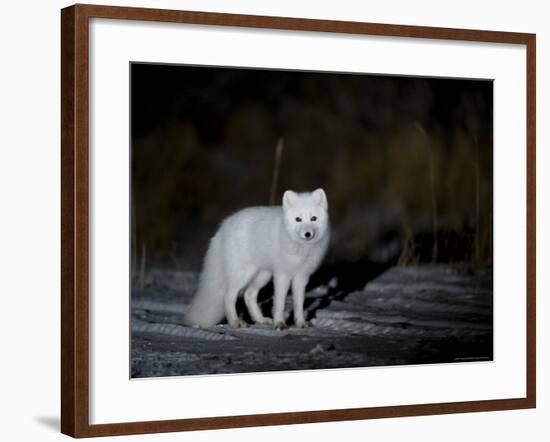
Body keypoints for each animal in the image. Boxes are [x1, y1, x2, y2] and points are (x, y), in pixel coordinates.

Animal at [184, 188, 332, 330]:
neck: (301, 248)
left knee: (248, 295)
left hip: (263, 275)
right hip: (243, 274)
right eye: (298, 219)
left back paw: (260, 320)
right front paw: (279, 324)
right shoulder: (282, 274)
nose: (307, 234)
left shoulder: (301, 277)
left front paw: (300, 323)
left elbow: (299, 303)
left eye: (313, 218)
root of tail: (224, 225)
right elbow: (280, 303)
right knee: (229, 296)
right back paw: (235, 322)